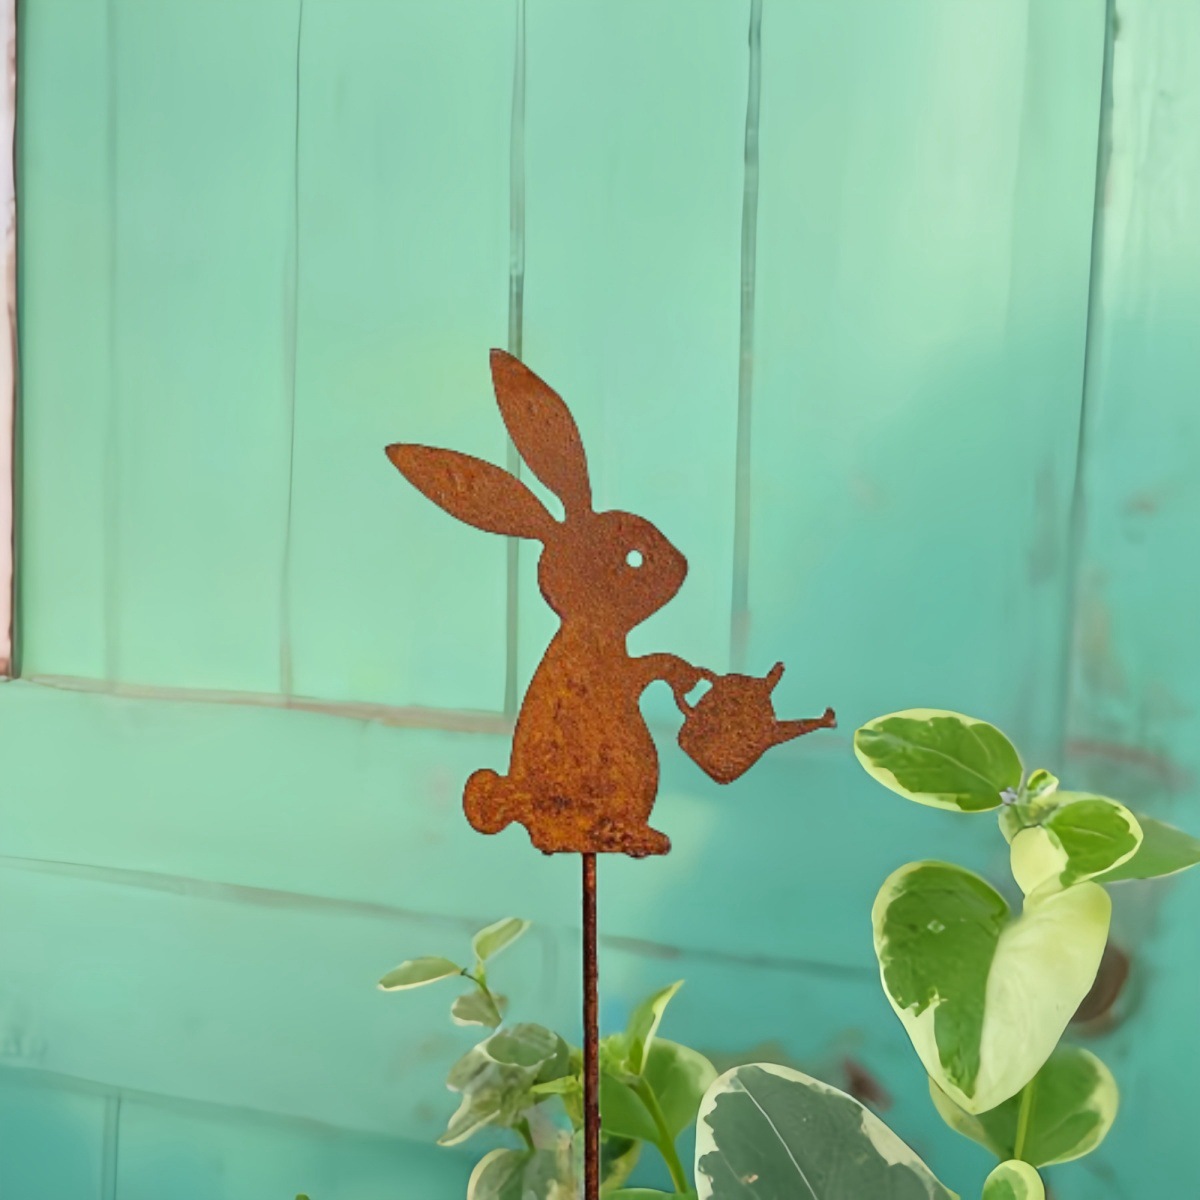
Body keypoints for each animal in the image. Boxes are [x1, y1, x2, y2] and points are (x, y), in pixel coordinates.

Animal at [386, 350, 705, 857]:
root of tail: (517, 801)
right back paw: (629, 835)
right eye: (635, 557)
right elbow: (643, 669)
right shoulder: (609, 666)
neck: (590, 623)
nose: (683, 563)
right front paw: (679, 671)